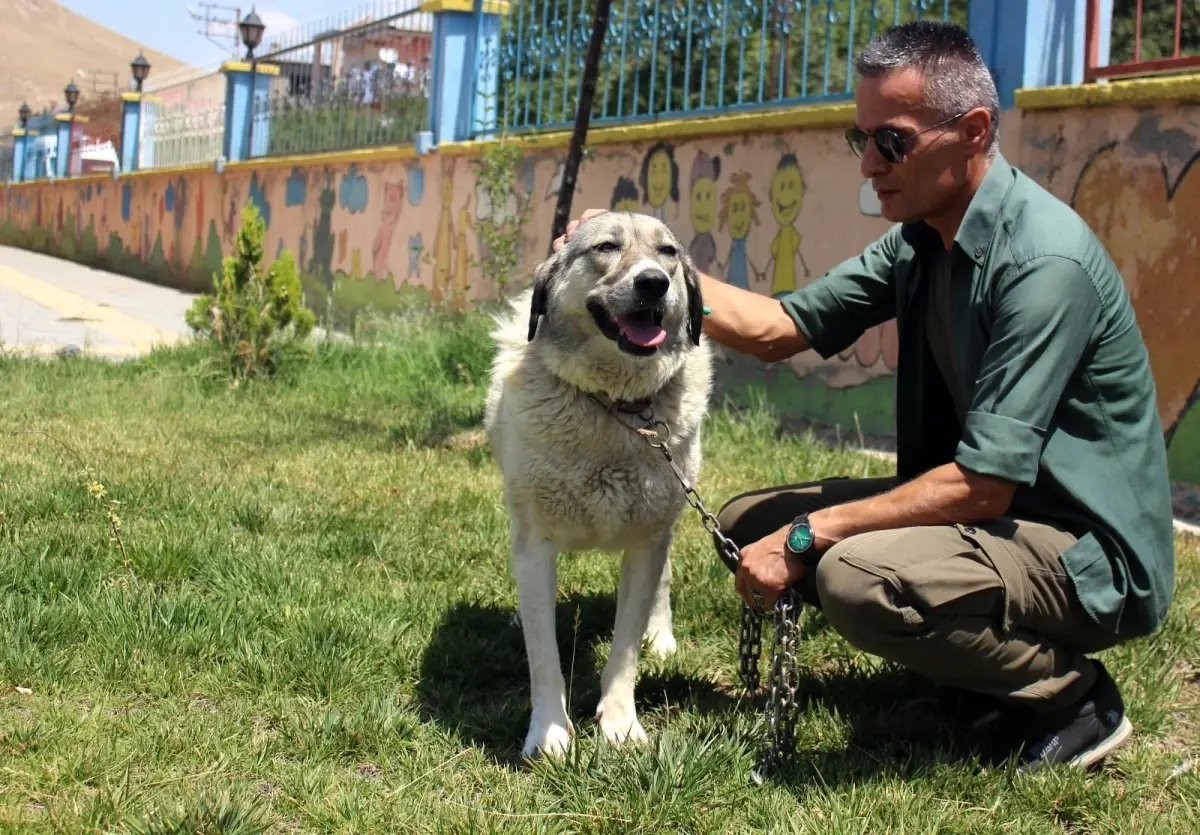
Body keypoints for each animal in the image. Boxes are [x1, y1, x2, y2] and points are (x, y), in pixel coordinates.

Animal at [484, 212, 715, 758]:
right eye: (606, 247)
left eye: (668, 252)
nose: (653, 282)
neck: (615, 407)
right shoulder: (535, 544)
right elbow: (543, 657)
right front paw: (548, 734)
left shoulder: (647, 541)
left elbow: (625, 650)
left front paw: (620, 726)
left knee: (664, 582)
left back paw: (661, 637)